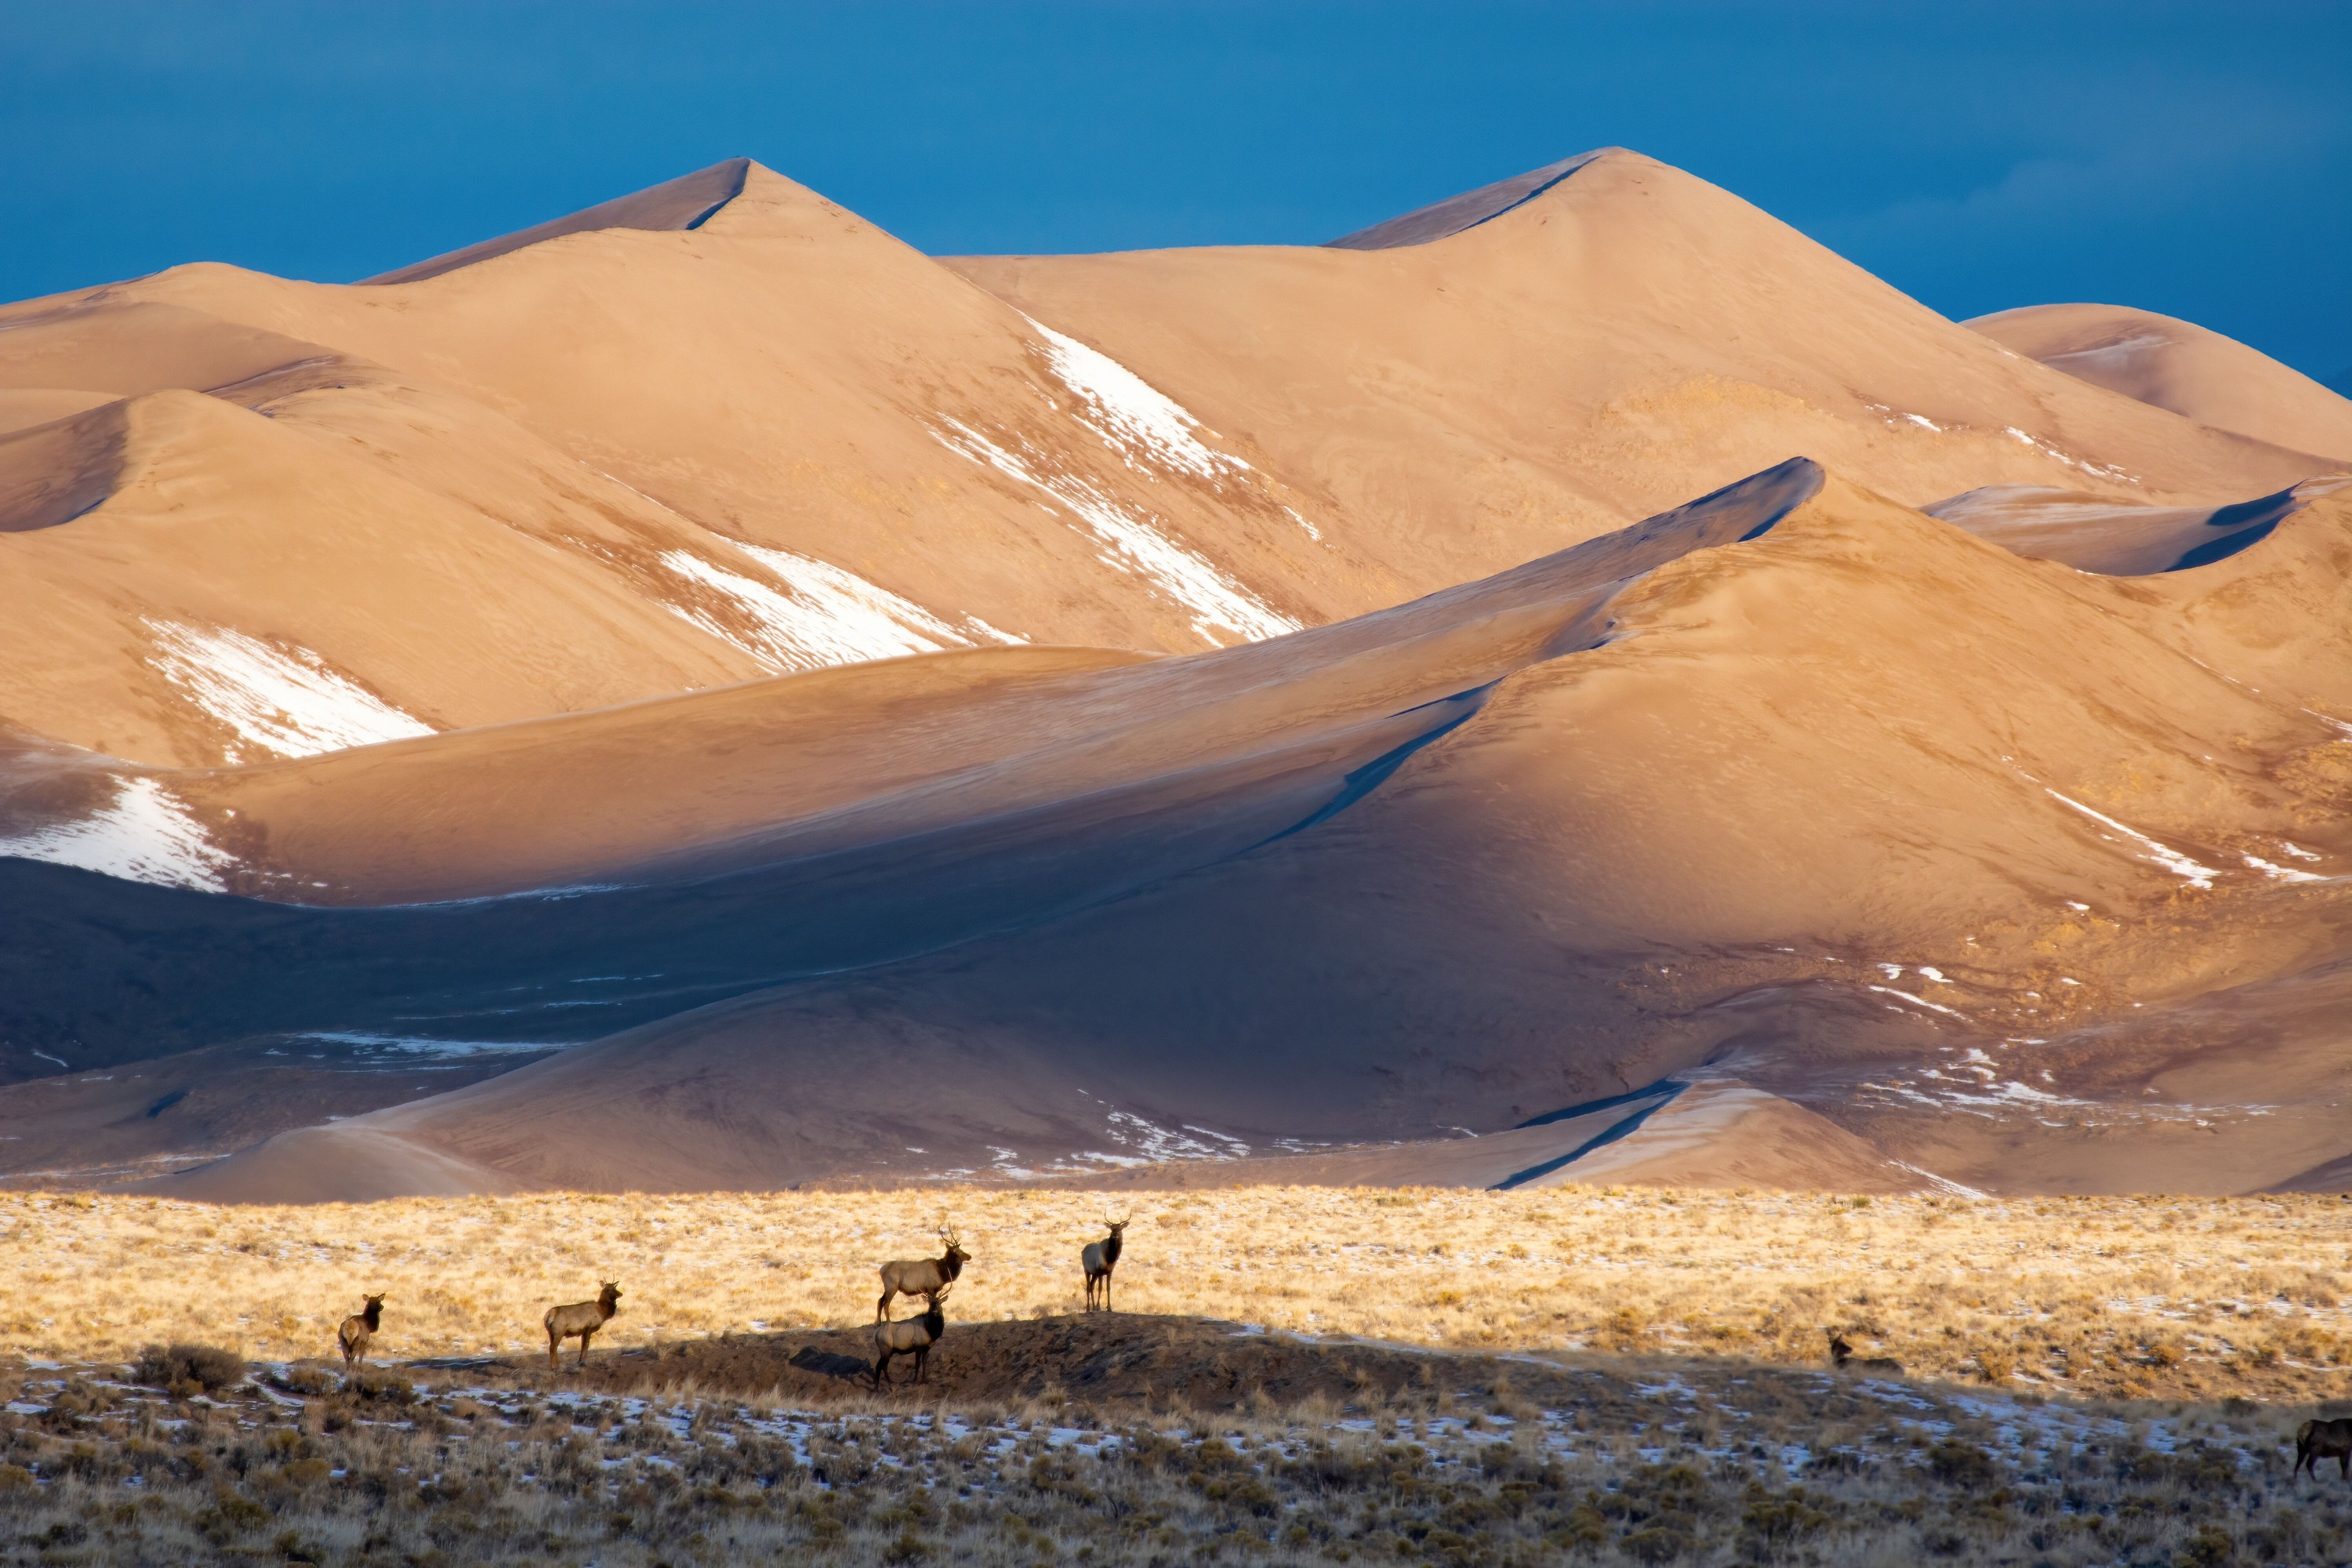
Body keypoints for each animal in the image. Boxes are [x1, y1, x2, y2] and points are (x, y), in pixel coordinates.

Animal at [871, 1284, 951, 1389]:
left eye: (939, 1303)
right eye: (930, 1303)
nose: (934, 1311)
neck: (931, 1330)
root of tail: (876, 1333)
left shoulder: (927, 1347)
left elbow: (924, 1362)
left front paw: (924, 1380)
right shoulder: (918, 1345)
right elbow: (917, 1363)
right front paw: (915, 1380)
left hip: (886, 1351)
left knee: (879, 1365)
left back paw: (878, 1388)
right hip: (886, 1349)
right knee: (882, 1366)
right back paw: (889, 1383)